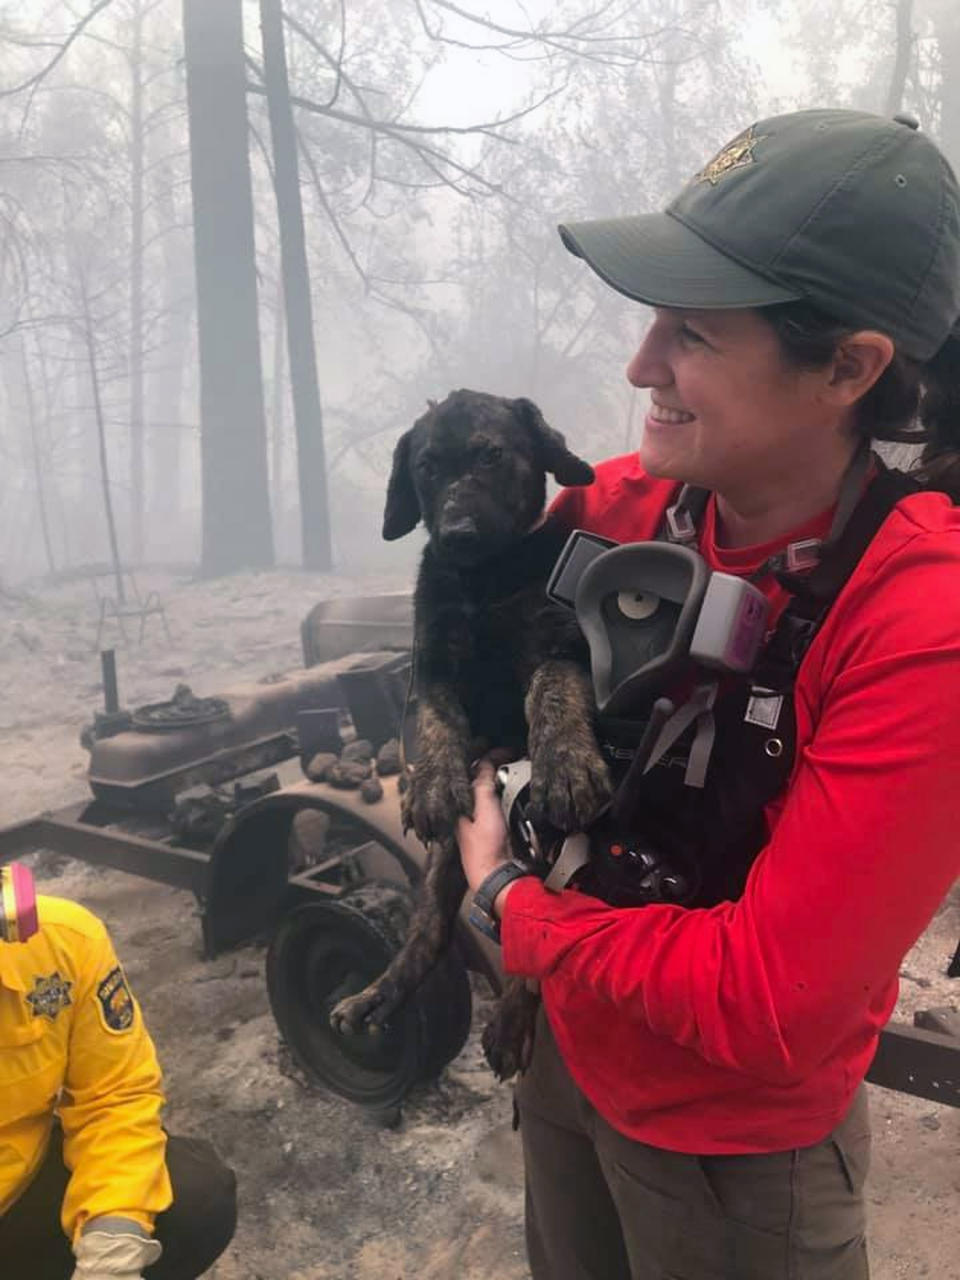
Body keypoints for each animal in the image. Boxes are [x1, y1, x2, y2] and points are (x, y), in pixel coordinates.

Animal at [335, 384, 611, 1075]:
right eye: (426, 467)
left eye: (492, 455)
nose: (458, 534)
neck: (485, 579)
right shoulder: (430, 665)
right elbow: (437, 723)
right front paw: (432, 785)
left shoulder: (562, 647)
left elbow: (551, 689)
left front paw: (565, 764)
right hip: (442, 868)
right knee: (430, 933)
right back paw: (377, 996)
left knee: (533, 933)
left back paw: (511, 1022)